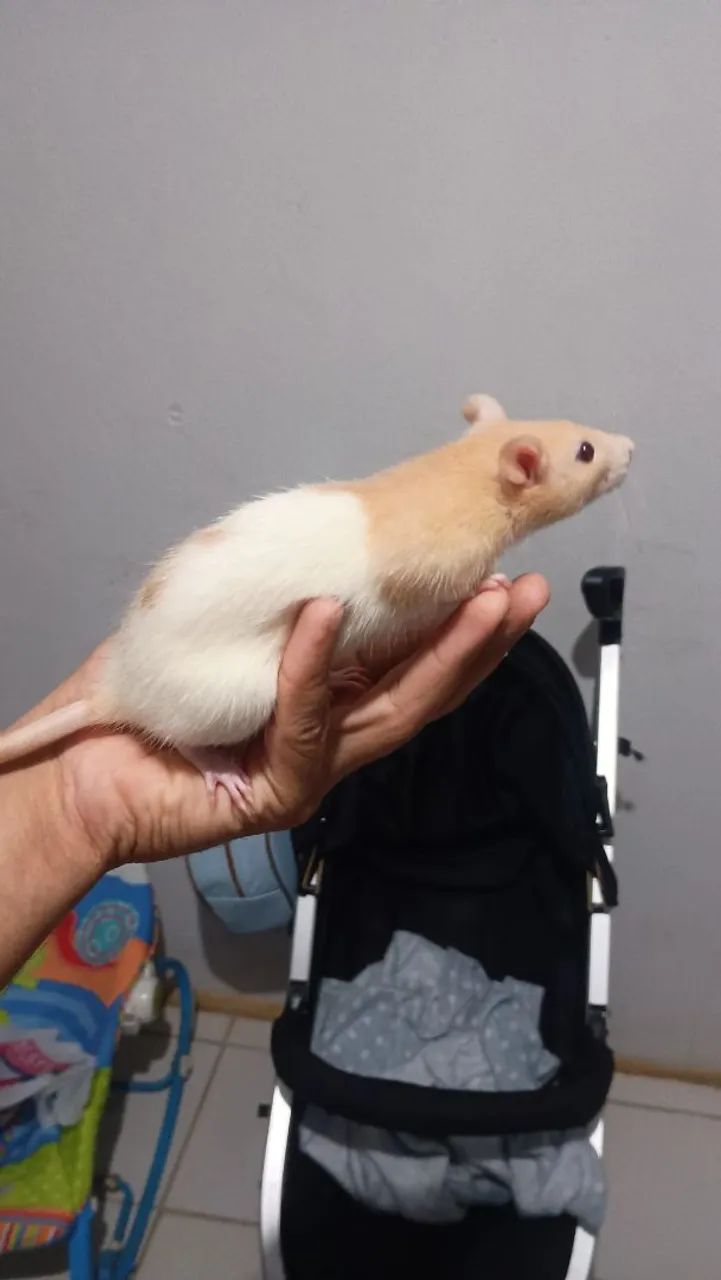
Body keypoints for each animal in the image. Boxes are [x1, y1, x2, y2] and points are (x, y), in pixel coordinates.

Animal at [0, 393, 633, 806]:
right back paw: (217, 765)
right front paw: (491, 584)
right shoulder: (435, 558)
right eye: (584, 450)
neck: (465, 469)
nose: (629, 445)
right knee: (182, 738)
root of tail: (121, 690)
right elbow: (436, 585)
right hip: (232, 696)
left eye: (577, 428)